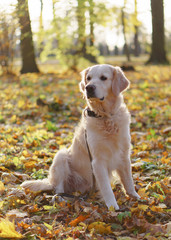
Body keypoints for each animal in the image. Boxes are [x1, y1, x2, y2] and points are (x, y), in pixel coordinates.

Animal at [21, 64, 140, 210]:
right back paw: (61, 199)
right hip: (61, 156)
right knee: (58, 189)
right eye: (88, 78)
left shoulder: (123, 155)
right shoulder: (97, 161)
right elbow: (106, 188)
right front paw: (113, 207)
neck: (106, 117)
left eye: (103, 78)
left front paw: (136, 197)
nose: (89, 87)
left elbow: (128, 180)